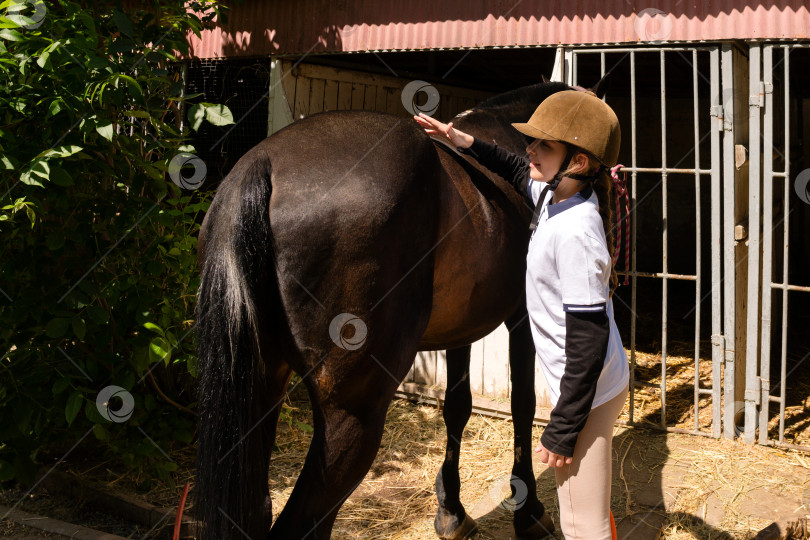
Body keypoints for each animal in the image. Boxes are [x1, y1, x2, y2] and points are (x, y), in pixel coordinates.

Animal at [195, 78, 588, 536]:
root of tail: (260, 164)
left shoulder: (461, 329)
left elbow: (457, 406)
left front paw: (451, 511)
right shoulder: (522, 317)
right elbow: (523, 405)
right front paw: (529, 512)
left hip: (262, 386)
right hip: (353, 413)